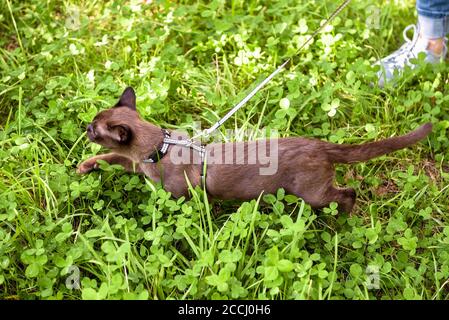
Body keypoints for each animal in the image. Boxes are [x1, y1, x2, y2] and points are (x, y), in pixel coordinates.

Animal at [77, 87, 430, 212]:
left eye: (94, 128)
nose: (84, 127)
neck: (160, 148)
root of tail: (319, 144)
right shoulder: (134, 163)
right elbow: (110, 157)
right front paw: (84, 166)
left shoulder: (183, 195)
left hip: (313, 193)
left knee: (349, 194)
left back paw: (340, 219)